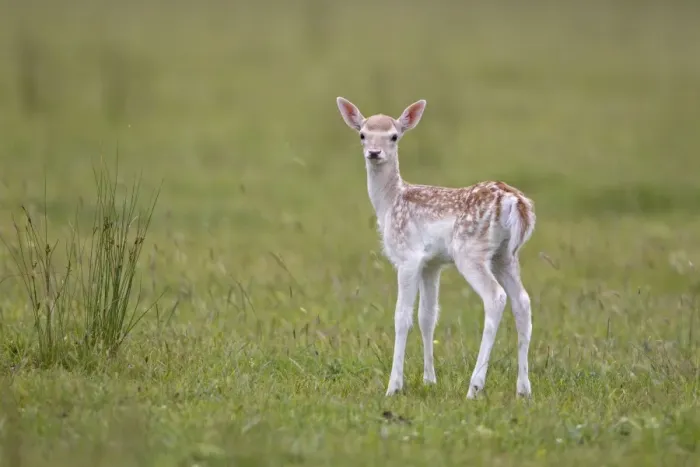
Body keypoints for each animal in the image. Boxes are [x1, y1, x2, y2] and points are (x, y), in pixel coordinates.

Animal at [335, 97, 536, 399]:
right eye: (362, 134)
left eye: (394, 136)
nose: (374, 152)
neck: (390, 203)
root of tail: (516, 202)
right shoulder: (432, 263)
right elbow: (427, 316)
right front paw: (430, 379)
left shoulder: (407, 256)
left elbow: (402, 316)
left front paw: (394, 386)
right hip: (505, 256)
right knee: (522, 301)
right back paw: (523, 389)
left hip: (470, 252)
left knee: (496, 297)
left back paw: (474, 387)